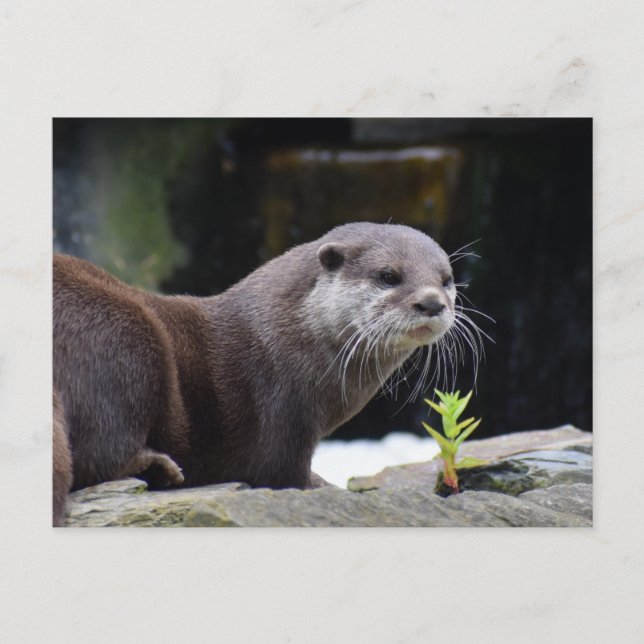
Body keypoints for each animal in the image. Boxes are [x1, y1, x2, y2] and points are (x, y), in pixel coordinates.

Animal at [53, 223, 457, 501]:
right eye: (388, 276)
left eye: (447, 279)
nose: (432, 302)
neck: (275, 342)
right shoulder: (282, 415)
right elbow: (282, 475)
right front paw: (324, 487)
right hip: (123, 335)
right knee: (98, 454)